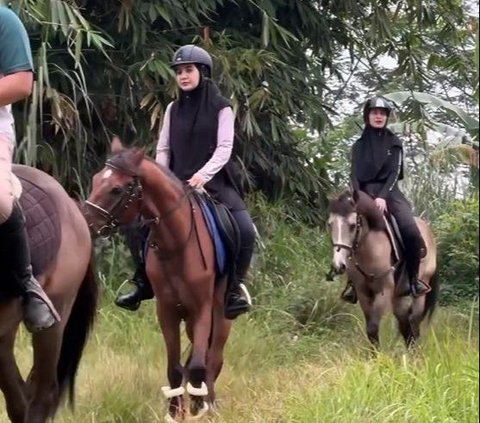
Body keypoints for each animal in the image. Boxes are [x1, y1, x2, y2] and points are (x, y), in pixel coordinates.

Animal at [85, 141, 234, 422]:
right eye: (95, 179)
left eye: (116, 189)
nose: (86, 222)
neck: (177, 243)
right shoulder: (167, 311)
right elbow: (175, 367)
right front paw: (176, 411)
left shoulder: (202, 310)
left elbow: (198, 365)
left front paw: (199, 407)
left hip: (222, 317)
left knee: (214, 358)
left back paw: (210, 402)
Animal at [326, 190, 438, 350]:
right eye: (330, 225)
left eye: (353, 225)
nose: (338, 265)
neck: (369, 247)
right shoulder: (363, 292)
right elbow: (370, 330)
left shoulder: (383, 292)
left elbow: (373, 327)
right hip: (398, 296)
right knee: (405, 324)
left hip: (419, 293)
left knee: (414, 323)